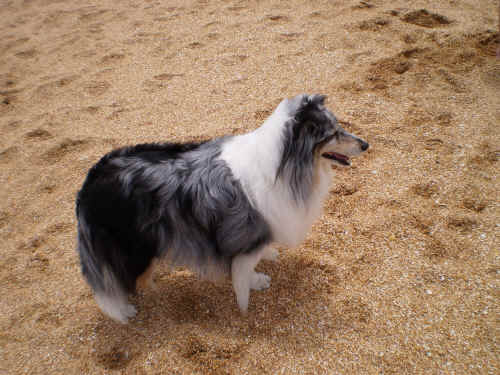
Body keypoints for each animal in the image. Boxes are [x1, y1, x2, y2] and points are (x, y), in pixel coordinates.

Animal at [76, 94, 370, 324]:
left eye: (339, 126)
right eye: (332, 134)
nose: (365, 144)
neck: (285, 166)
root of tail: (92, 178)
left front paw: (267, 259)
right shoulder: (245, 239)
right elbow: (243, 270)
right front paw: (255, 285)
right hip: (136, 246)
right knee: (120, 283)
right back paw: (126, 309)